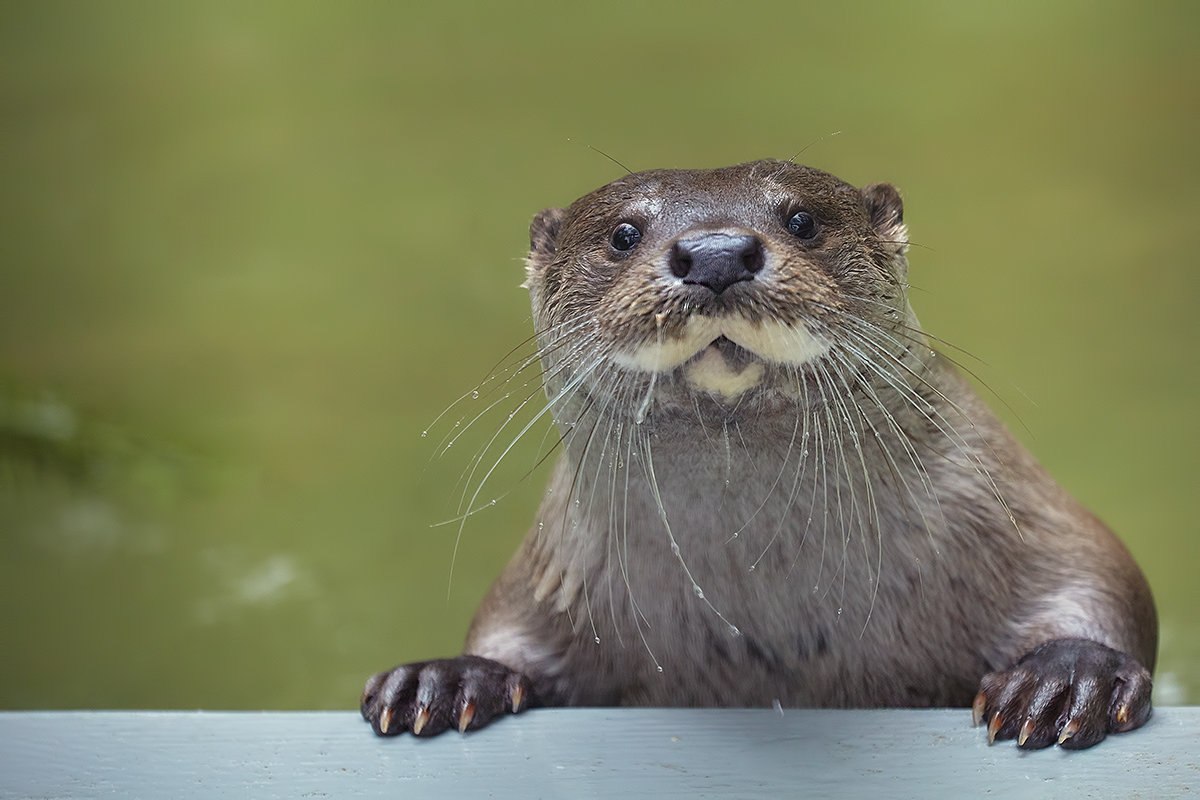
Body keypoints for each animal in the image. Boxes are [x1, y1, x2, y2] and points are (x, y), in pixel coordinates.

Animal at [362, 159, 1152, 748]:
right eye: (623, 233)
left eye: (802, 220)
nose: (715, 252)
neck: (771, 613)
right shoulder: (557, 570)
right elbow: (505, 628)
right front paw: (448, 678)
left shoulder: (1007, 503)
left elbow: (1096, 572)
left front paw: (1067, 677)